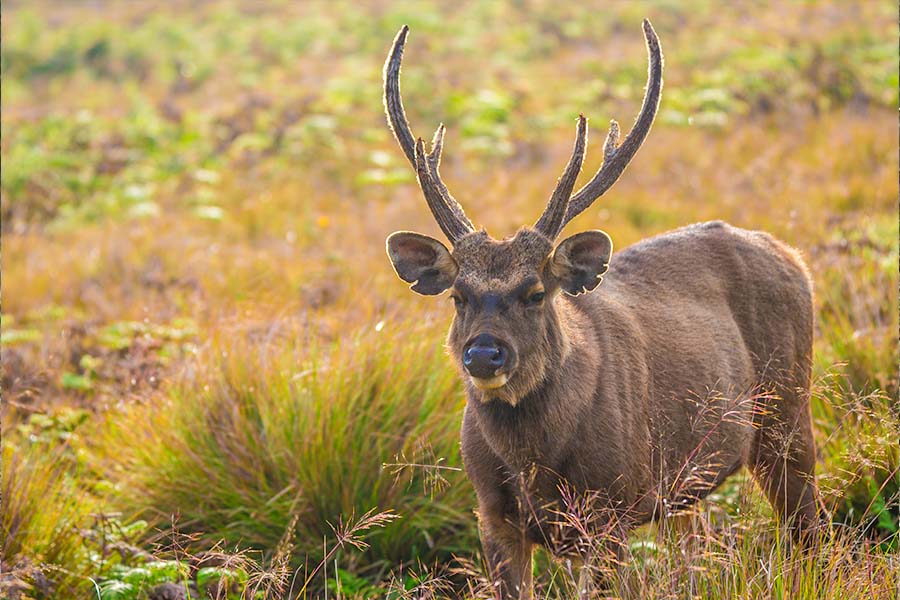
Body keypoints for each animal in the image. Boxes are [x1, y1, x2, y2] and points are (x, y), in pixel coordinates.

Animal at [384, 19, 820, 600]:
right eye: (459, 296)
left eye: (536, 292)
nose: (484, 355)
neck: (532, 462)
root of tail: (795, 257)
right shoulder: (491, 514)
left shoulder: (609, 508)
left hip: (788, 411)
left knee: (809, 529)